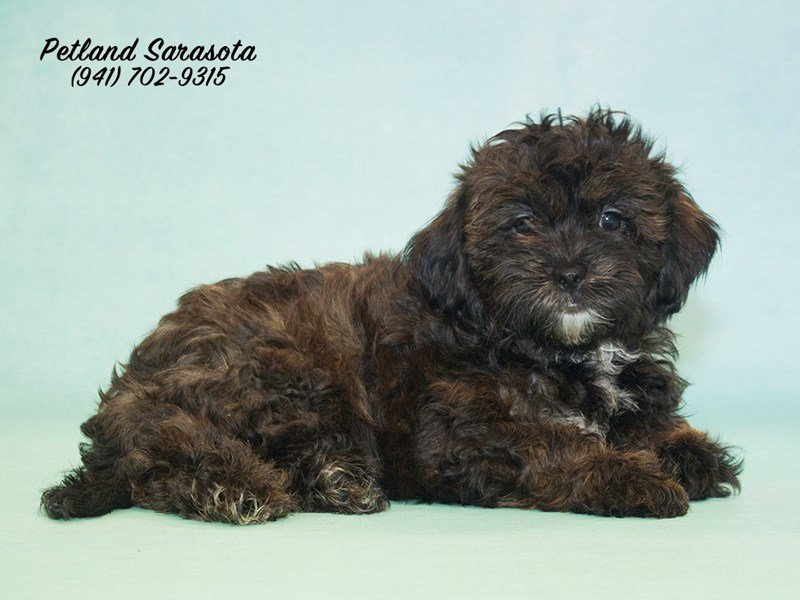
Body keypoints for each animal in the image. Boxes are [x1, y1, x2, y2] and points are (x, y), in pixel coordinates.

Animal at [42, 108, 741, 523]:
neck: (562, 350)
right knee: (163, 453)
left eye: (611, 220)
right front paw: (631, 477)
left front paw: (689, 451)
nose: (568, 274)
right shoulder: (458, 431)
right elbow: (554, 444)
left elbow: (653, 425)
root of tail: (133, 384)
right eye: (521, 224)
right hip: (283, 369)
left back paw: (335, 482)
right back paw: (242, 488)